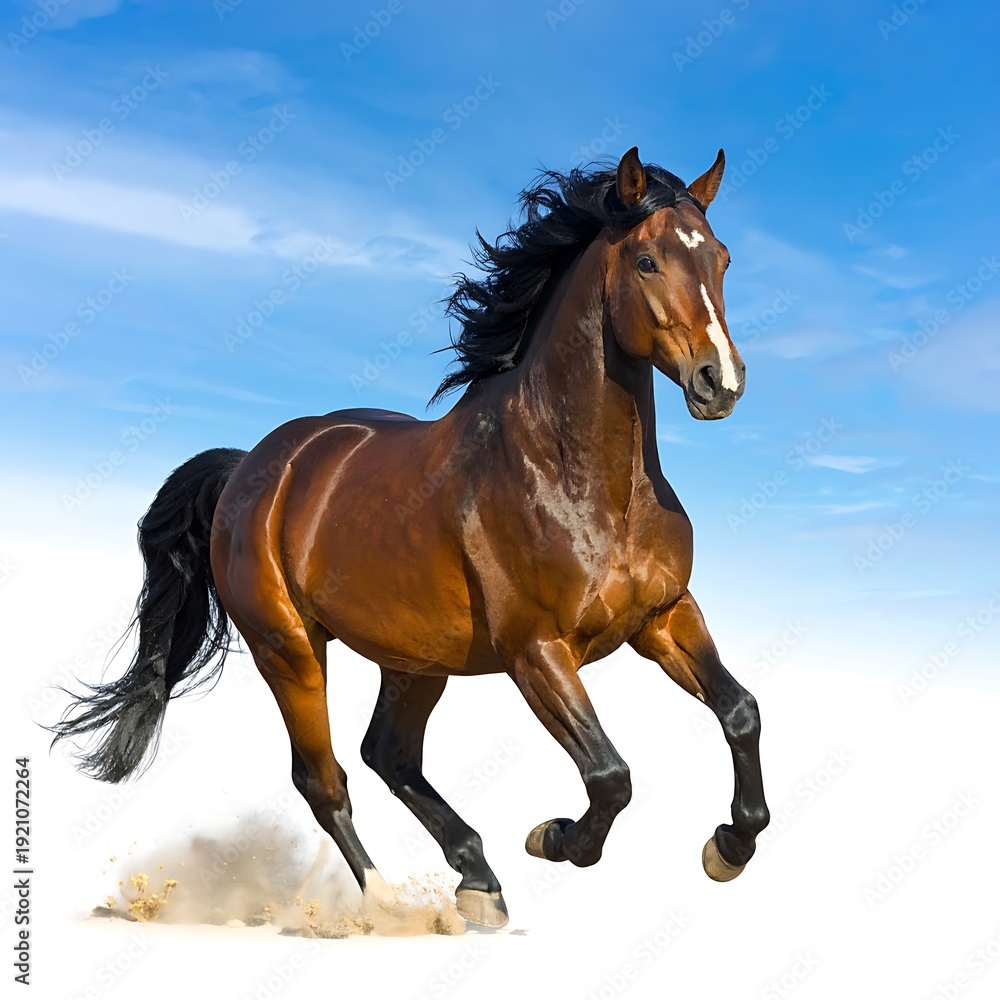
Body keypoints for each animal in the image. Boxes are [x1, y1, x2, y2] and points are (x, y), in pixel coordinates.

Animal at [53, 147, 770, 929]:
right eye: (646, 261)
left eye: (724, 258)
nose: (720, 381)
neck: (580, 480)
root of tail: (250, 467)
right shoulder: (536, 650)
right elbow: (610, 775)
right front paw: (552, 837)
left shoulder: (663, 616)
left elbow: (740, 712)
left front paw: (729, 846)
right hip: (289, 648)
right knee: (324, 778)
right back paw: (386, 903)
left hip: (417, 658)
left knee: (388, 755)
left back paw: (477, 879)